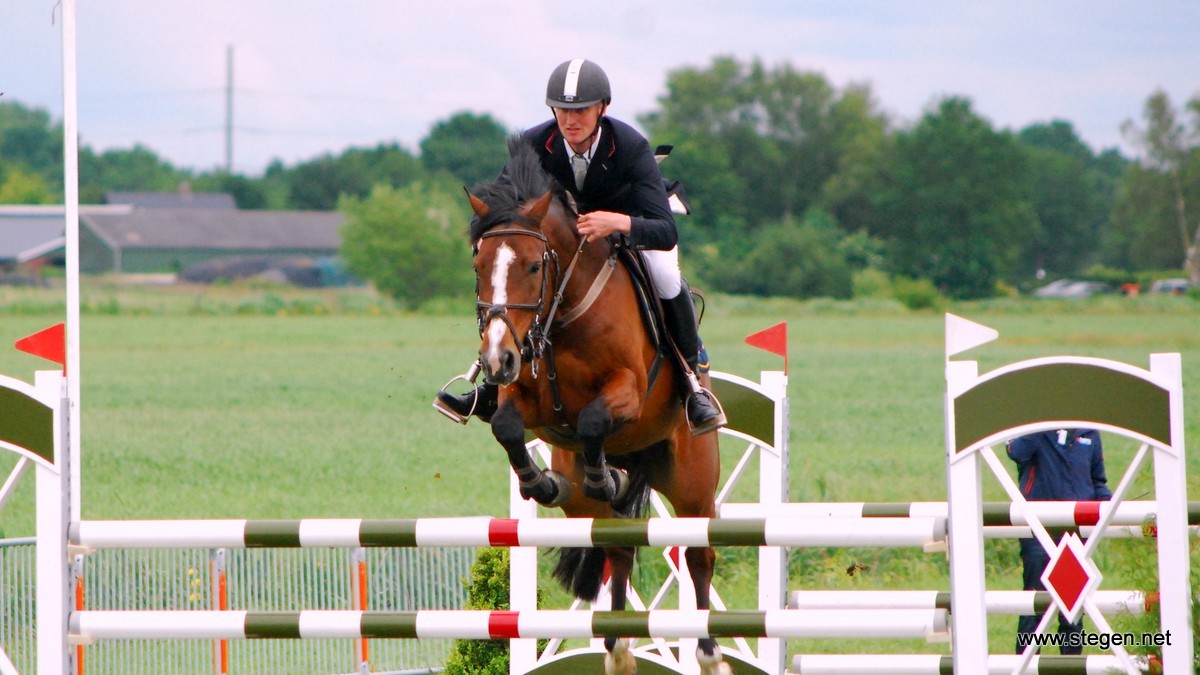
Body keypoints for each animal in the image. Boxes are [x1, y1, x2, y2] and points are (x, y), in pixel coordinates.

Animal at [463, 138, 729, 672]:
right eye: (479, 268)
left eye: (534, 266)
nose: (496, 359)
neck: (563, 312)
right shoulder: (526, 399)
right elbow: (506, 426)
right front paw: (542, 482)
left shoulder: (627, 389)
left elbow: (590, 420)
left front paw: (602, 475)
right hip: (598, 507)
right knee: (618, 550)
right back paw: (618, 648)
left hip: (692, 485)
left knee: (698, 557)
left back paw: (709, 654)